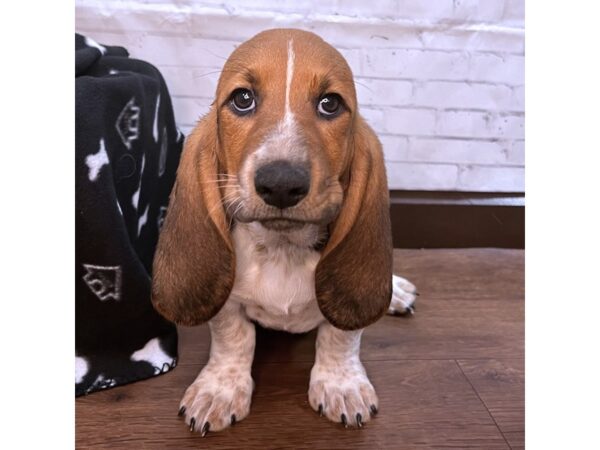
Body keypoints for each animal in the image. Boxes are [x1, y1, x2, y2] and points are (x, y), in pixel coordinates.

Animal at [152, 29, 420, 436]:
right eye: (243, 99)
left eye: (330, 104)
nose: (280, 183)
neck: (282, 248)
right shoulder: (227, 300)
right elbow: (233, 338)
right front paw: (219, 390)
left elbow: (341, 335)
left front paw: (341, 386)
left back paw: (395, 292)